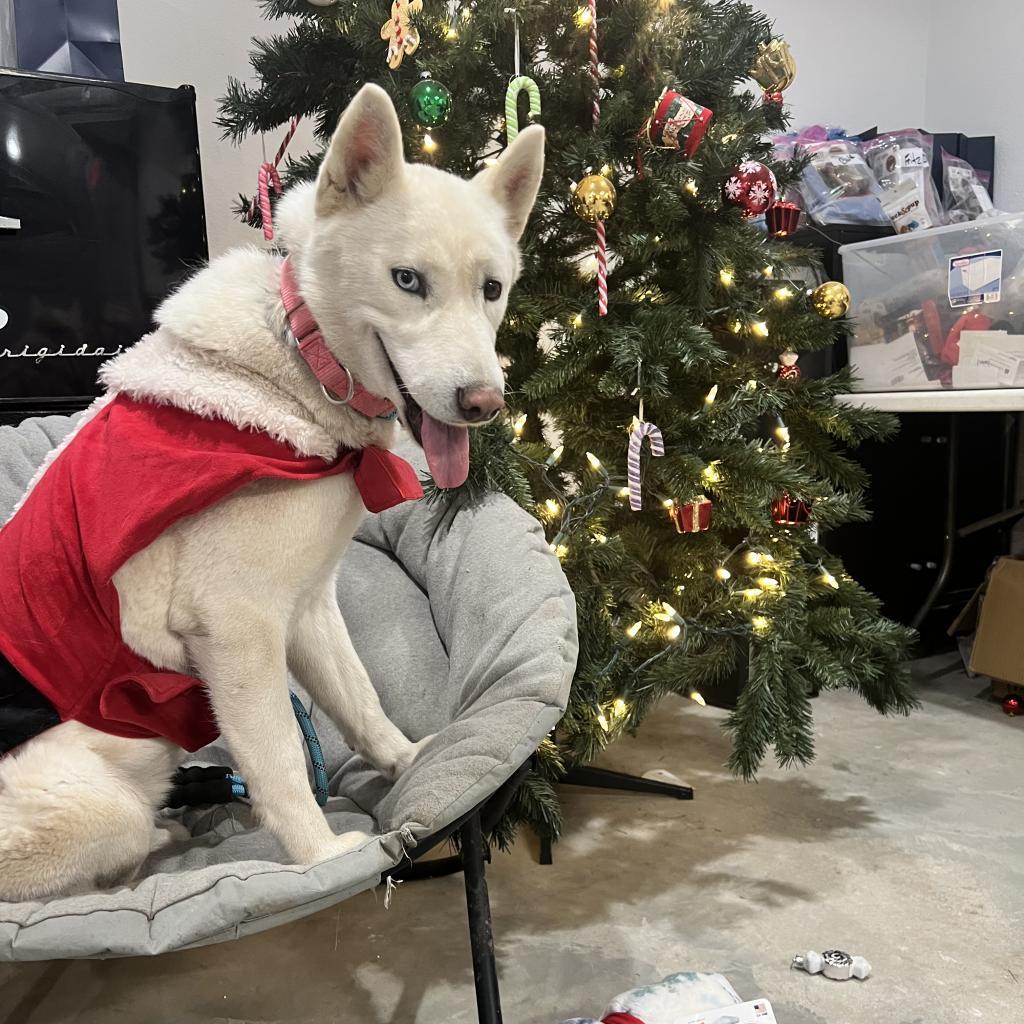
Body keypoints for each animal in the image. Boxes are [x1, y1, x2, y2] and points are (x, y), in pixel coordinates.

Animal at [0, 83, 544, 901]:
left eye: (492, 290)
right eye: (407, 281)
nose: (484, 405)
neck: (301, 361)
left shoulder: (309, 608)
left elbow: (360, 700)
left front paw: (411, 763)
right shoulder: (237, 630)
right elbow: (283, 759)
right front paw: (321, 856)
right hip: (93, 808)